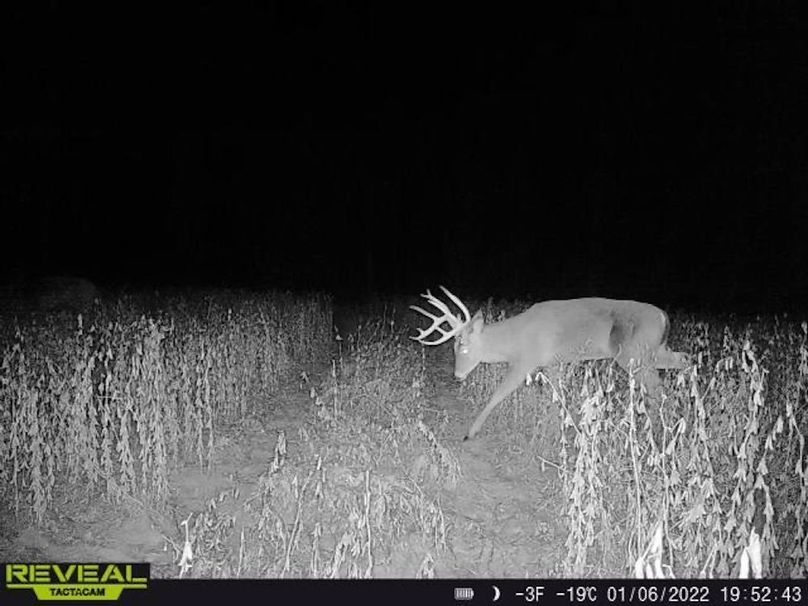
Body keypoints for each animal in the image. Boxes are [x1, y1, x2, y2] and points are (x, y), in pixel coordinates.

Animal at [410, 286, 689, 440]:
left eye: (462, 345)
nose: (457, 375)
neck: (515, 339)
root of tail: (663, 316)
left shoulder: (526, 360)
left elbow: (498, 394)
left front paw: (470, 432)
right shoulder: (551, 363)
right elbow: (559, 395)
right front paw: (570, 427)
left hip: (634, 354)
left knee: (658, 389)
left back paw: (655, 431)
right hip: (655, 351)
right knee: (684, 361)